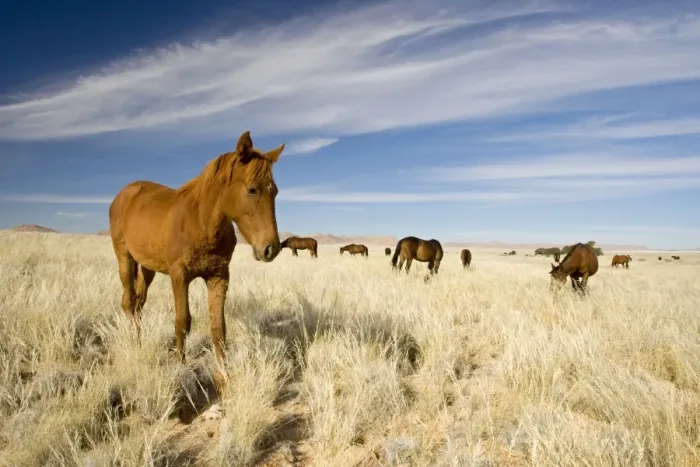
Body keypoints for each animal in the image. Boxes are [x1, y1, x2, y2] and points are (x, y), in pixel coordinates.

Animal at [109, 130, 284, 393]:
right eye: (252, 190)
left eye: (275, 192)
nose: (270, 249)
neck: (201, 221)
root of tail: (124, 193)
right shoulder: (179, 275)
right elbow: (183, 321)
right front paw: (180, 366)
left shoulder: (219, 276)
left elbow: (218, 328)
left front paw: (224, 376)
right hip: (125, 258)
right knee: (128, 302)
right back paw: (133, 341)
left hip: (148, 267)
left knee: (139, 303)